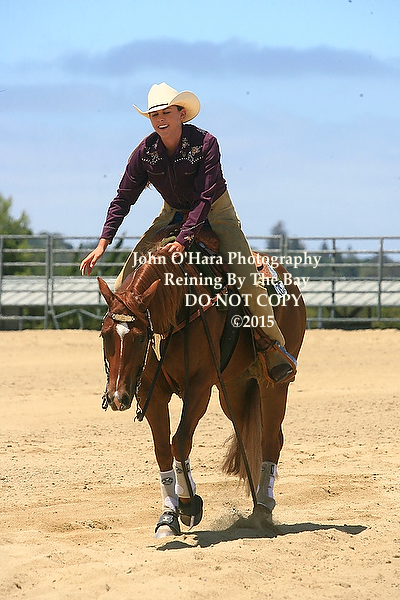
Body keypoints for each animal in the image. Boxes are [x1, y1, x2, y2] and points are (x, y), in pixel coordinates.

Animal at [97, 243, 306, 537]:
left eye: (139, 338)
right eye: (105, 335)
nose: (117, 398)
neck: (176, 314)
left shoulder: (198, 388)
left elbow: (180, 440)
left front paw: (188, 504)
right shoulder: (151, 392)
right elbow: (162, 448)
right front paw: (168, 516)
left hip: (274, 385)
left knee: (271, 440)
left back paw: (262, 508)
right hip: (234, 389)